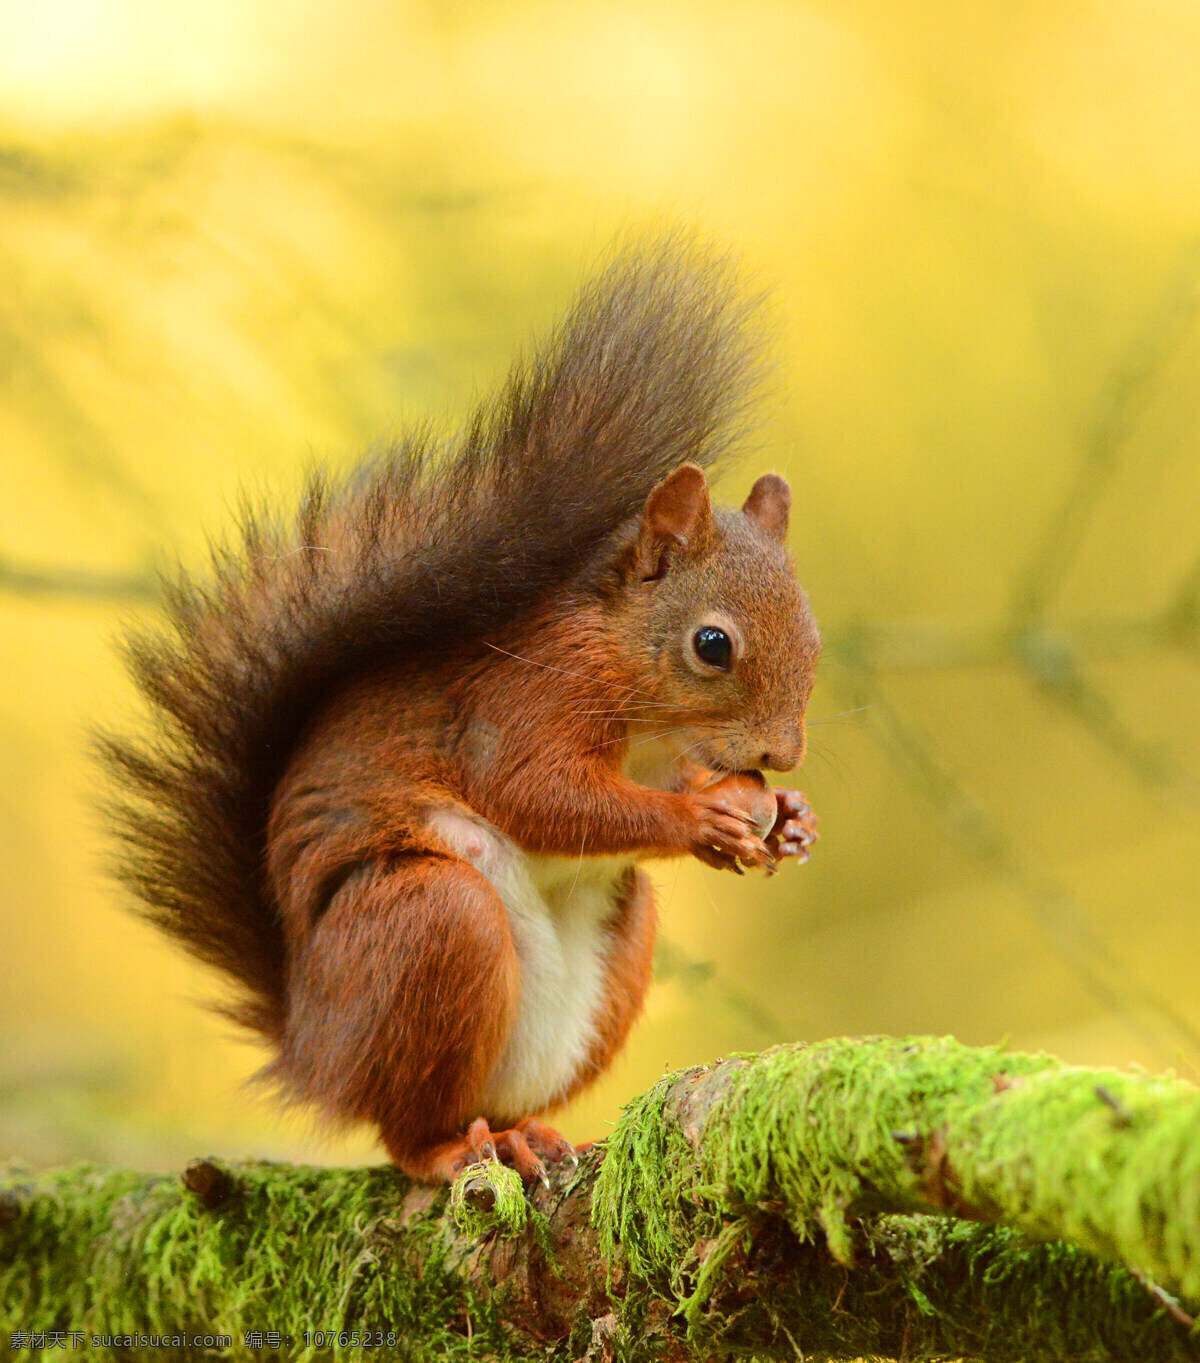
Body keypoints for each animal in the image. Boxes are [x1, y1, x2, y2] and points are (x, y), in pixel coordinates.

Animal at [100, 242, 818, 1183]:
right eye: (712, 644)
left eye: (812, 631)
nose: (784, 755)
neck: (640, 691)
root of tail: (311, 1049)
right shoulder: (530, 697)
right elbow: (535, 793)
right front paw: (699, 817)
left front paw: (790, 820)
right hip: (432, 924)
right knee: (405, 1126)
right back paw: (450, 1149)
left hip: (611, 954)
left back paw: (525, 1133)